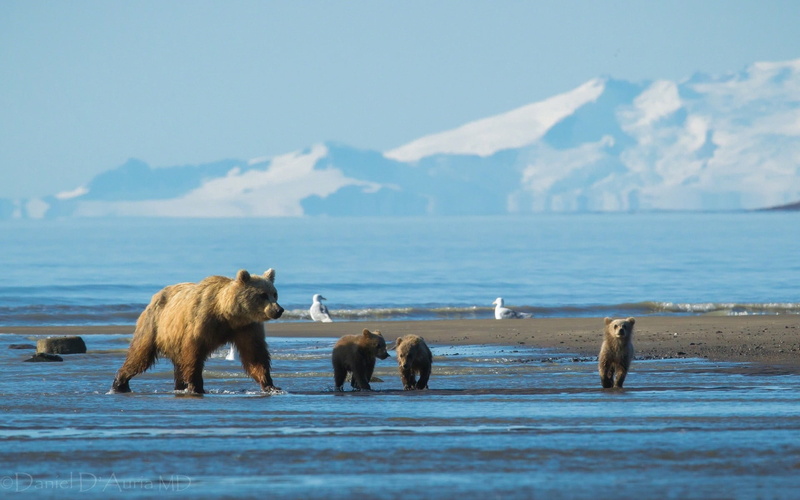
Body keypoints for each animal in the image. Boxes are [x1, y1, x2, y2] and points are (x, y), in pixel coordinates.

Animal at [111, 269, 284, 394]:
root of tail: (156, 295)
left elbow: (254, 355)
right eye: (263, 295)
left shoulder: (246, 328)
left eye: (274, 293)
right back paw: (120, 383)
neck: (227, 314)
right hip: (154, 324)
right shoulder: (202, 322)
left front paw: (271, 385)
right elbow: (193, 353)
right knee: (141, 354)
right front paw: (197, 387)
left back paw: (179, 386)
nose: (279, 310)